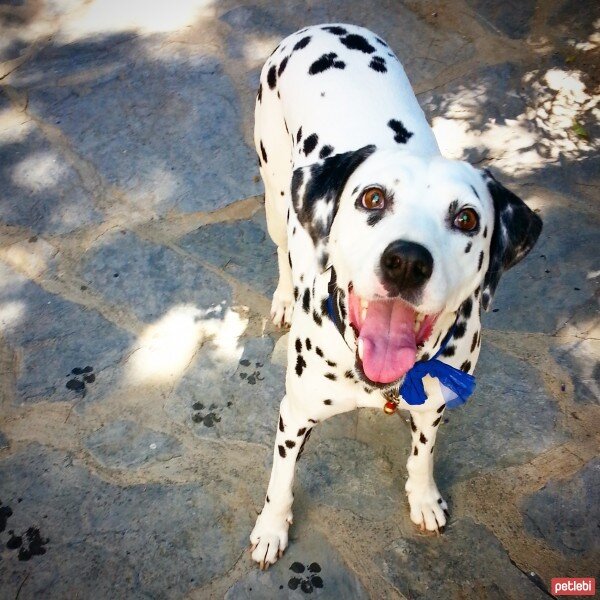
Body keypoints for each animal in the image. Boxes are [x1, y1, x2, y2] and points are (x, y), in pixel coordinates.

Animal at [248, 22, 544, 568]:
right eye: (372, 198)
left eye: (466, 217)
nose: (406, 261)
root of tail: (320, 26)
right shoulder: (294, 414)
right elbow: (281, 480)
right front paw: (271, 528)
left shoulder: (435, 403)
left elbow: (423, 455)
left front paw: (424, 498)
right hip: (277, 196)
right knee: (282, 245)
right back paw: (282, 296)